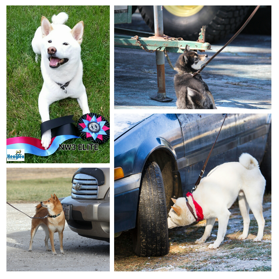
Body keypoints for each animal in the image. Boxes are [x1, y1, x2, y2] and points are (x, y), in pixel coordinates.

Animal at [32, 12, 90, 150]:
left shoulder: (81, 93)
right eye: (49, 41)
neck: (63, 79)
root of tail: (56, 24)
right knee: (36, 54)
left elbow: (86, 110)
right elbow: (46, 120)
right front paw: (46, 138)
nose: (51, 49)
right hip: (35, 47)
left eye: (65, 44)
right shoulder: (42, 99)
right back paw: (37, 60)